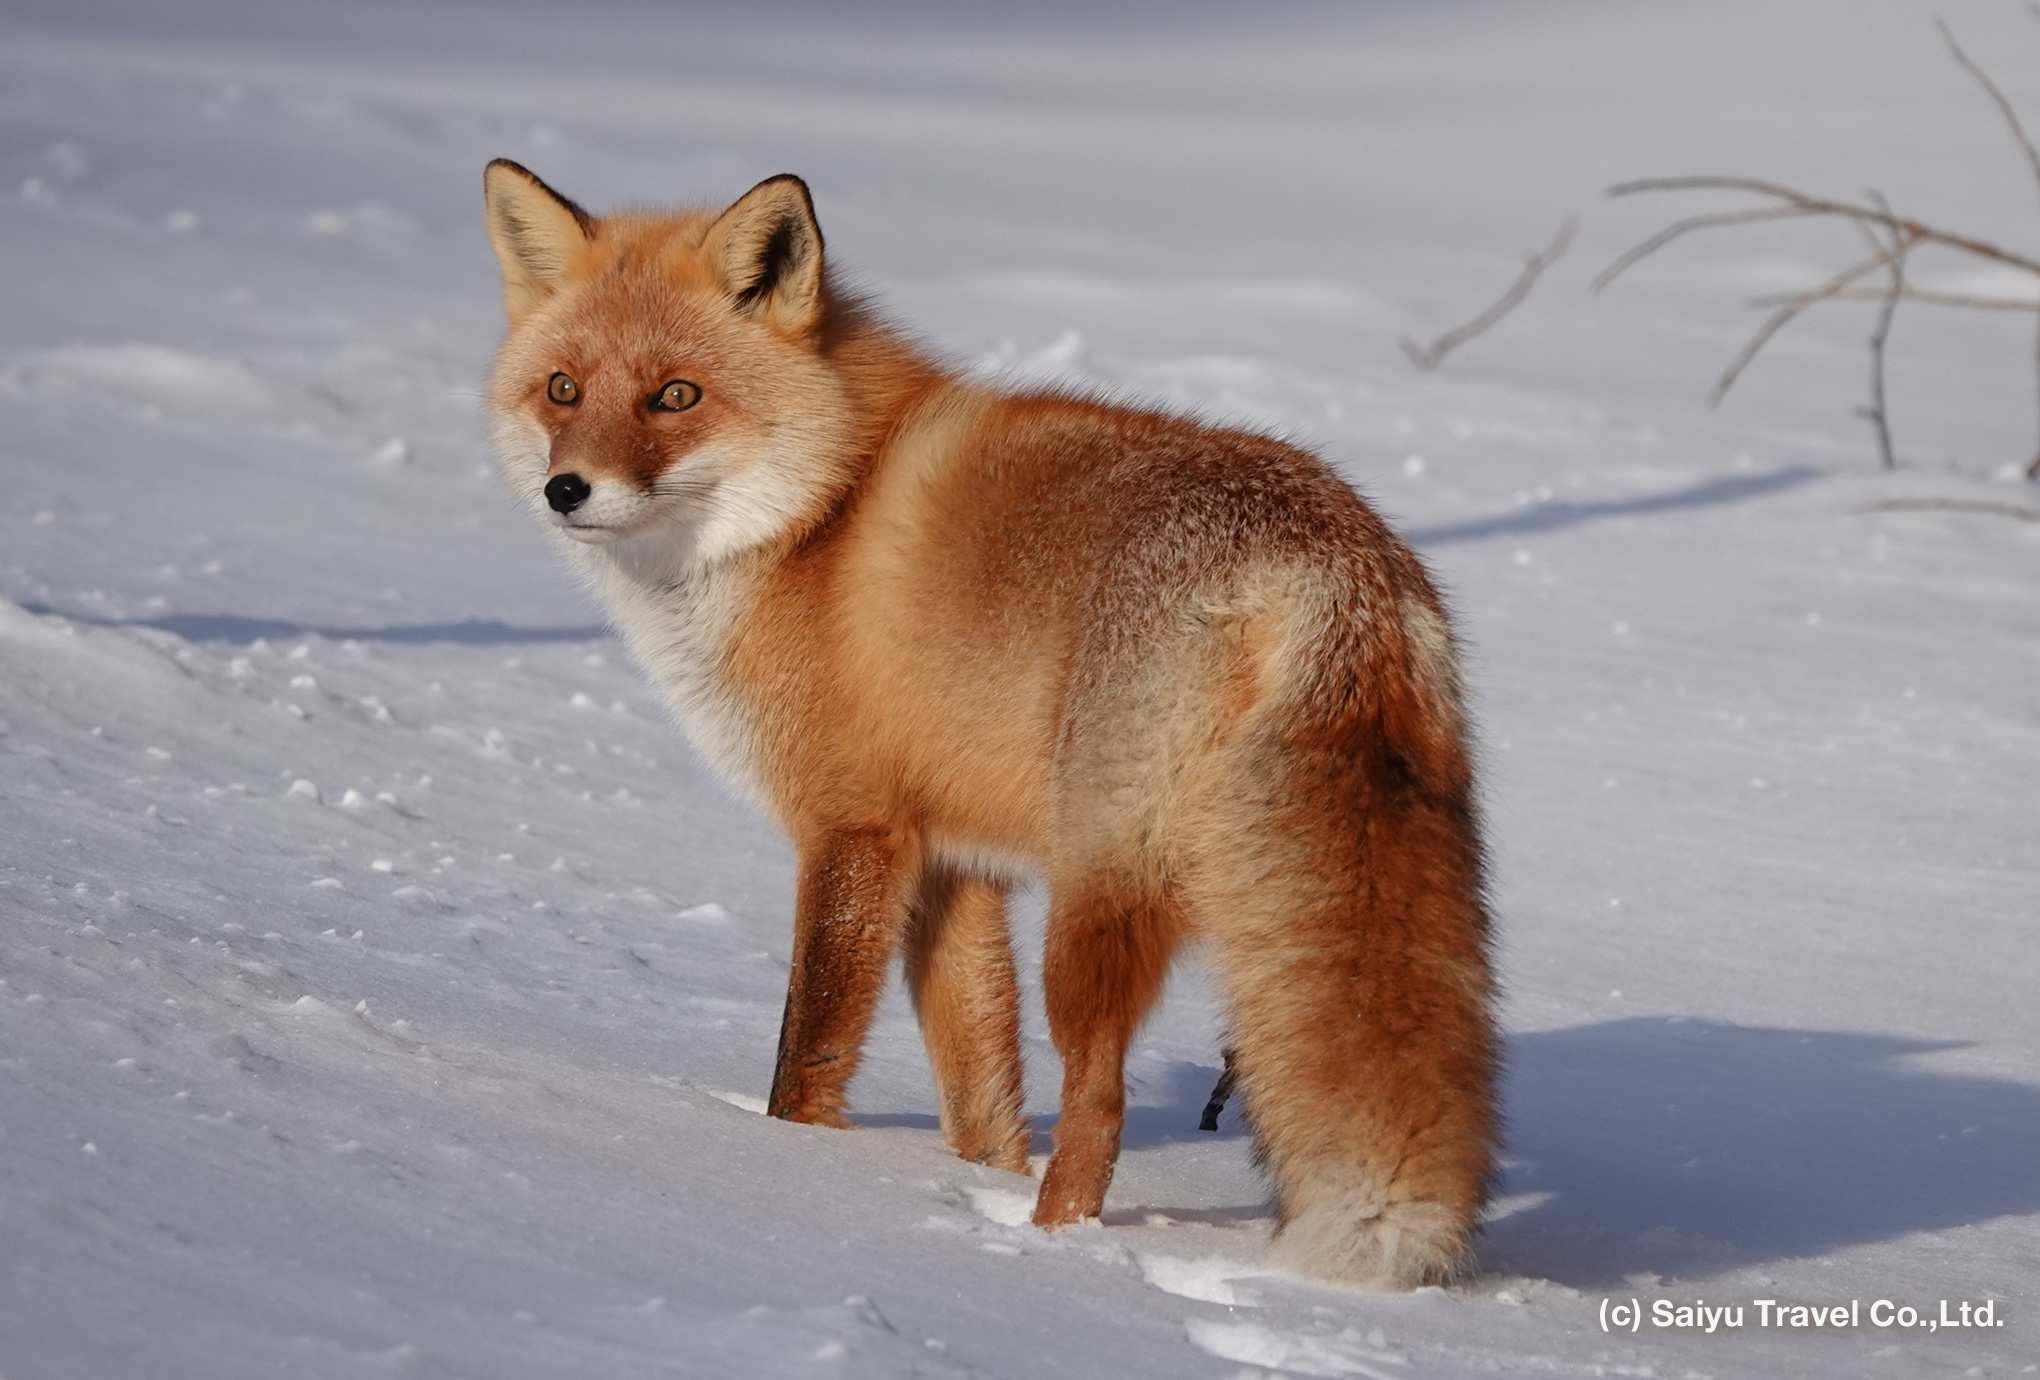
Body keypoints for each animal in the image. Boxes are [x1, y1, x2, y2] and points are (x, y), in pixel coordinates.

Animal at [480, 161, 1500, 1290]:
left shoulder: (854, 828)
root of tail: (1327, 561)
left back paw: (1050, 1252)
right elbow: (978, 1091)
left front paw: (794, 1165)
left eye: (675, 396)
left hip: (1095, 899)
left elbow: (808, 1050)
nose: (567, 489)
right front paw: (973, 1181)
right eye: (563, 390)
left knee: (1097, 1105)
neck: (818, 516)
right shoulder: (950, 864)